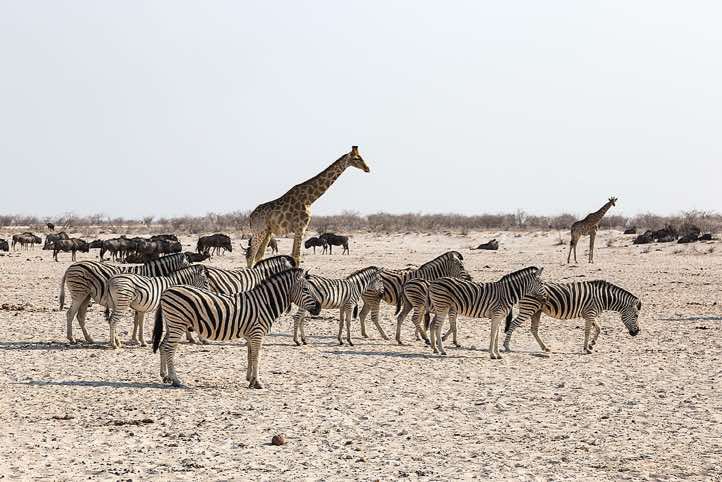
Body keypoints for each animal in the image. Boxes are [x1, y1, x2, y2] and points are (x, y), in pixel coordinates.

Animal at [59, 252, 189, 344]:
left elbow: (136, 321)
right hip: (79, 293)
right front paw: (137, 340)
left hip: (86, 295)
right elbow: (137, 321)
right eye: (188, 264)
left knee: (80, 316)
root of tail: (70, 267)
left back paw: (88, 338)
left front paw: (135, 339)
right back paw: (71, 338)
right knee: (70, 313)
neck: (150, 274)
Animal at [152, 268, 321, 388]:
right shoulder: (258, 333)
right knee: (169, 348)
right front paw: (257, 382)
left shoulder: (251, 334)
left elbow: (250, 355)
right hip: (177, 324)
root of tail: (166, 291)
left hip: (172, 324)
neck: (265, 303)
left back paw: (165, 376)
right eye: (306, 289)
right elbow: (257, 357)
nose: (319, 308)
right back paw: (176, 380)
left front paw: (250, 379)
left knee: (163, 345)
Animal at [502, 280, 641, 354]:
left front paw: (592, 344)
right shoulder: (590, 313)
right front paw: (586, 349)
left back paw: (545, 347)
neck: (603, 297)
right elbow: (587, 331)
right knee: (513, 324)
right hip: (529, 309)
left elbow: (599, 328)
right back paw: (506, 346)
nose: (637, 332)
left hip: (536, 311)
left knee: (533, 329)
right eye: (636, 315)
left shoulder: (590, 314)